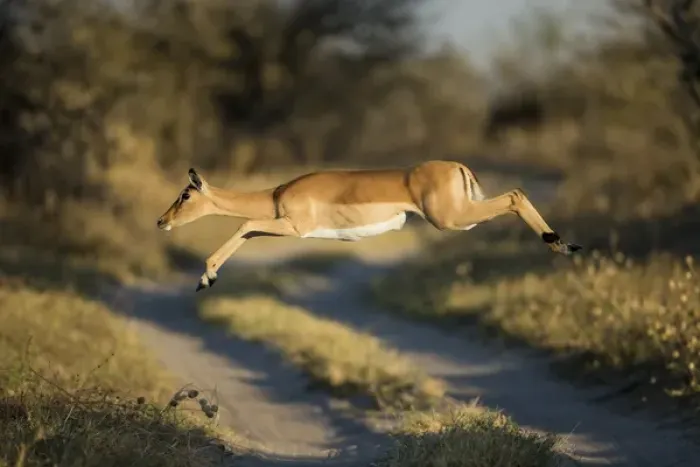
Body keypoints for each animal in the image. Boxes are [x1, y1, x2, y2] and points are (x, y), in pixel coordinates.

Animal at [157, 160, 582, 291]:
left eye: (185, 195)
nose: (161, 220)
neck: (278, 192)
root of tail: (458, 167)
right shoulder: (282, 226)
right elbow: (246, 229)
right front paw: (207, 277)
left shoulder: (295, 226)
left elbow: (244, 222)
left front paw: (205, 277)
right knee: (516, 193)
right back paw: (566, 245)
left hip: (451, 219)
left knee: (515, 195)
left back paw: (560, 244)